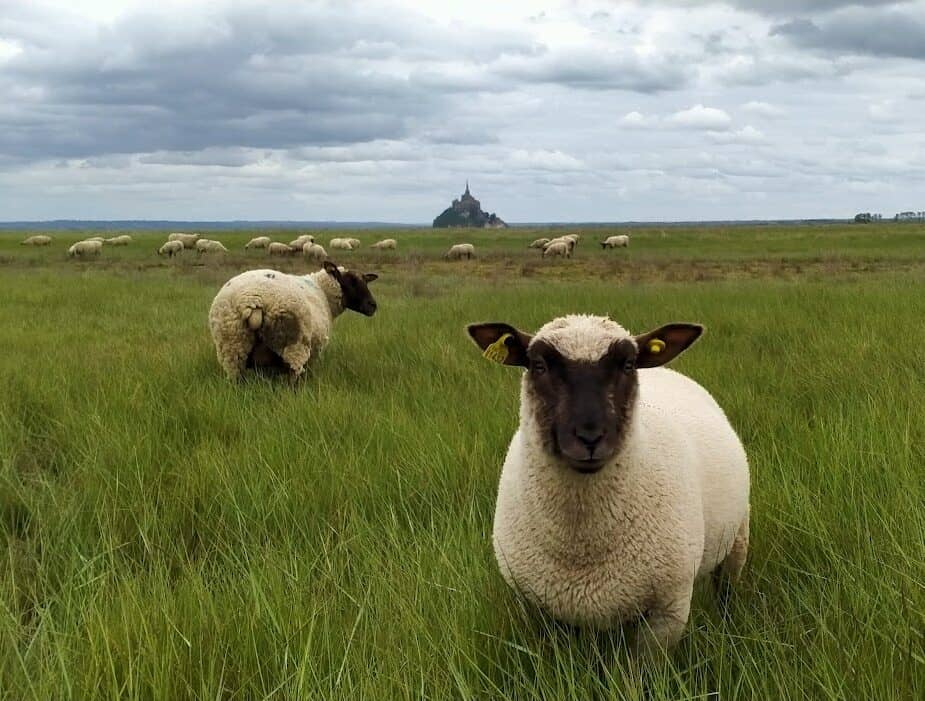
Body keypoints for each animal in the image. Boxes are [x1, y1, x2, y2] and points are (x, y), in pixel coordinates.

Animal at [209, 260, 378, 380]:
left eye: (365, 281)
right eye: (351, 281)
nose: (373, 305)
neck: (323, 292)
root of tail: (252, 299)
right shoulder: (315, 352)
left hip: (232, 345)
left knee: (236, 377)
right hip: (294, 344)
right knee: (293, 378)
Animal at [466, 314, 748, 652]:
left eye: (628, 364)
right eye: (538, 365)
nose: (590, 437)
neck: (581, 547)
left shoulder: (668, 612)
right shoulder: (535, 607)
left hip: (737, 539)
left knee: (726, 590)